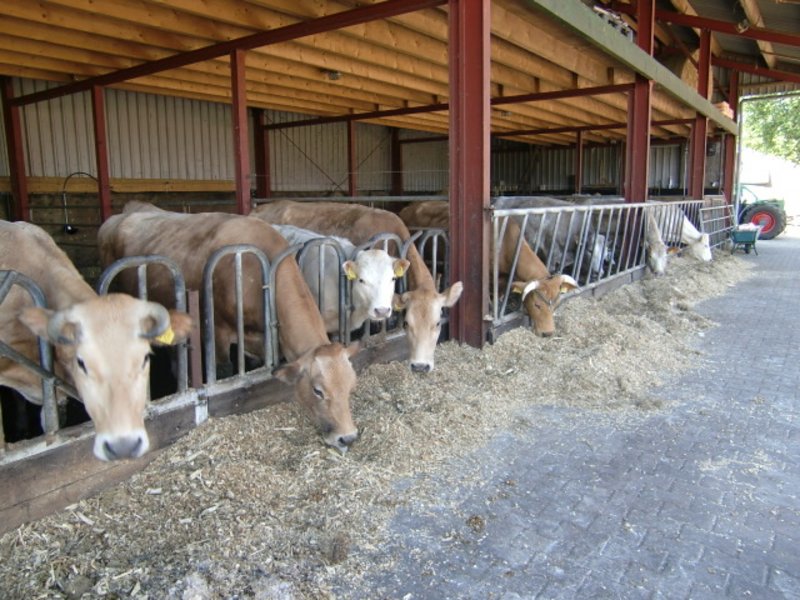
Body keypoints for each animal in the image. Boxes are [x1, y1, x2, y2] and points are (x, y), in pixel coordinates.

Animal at [399, 200, 579, 337]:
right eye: (537, 305)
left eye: (556, 305)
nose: (548, 333)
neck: (506, 243)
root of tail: (409, 207)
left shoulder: (504, 280)